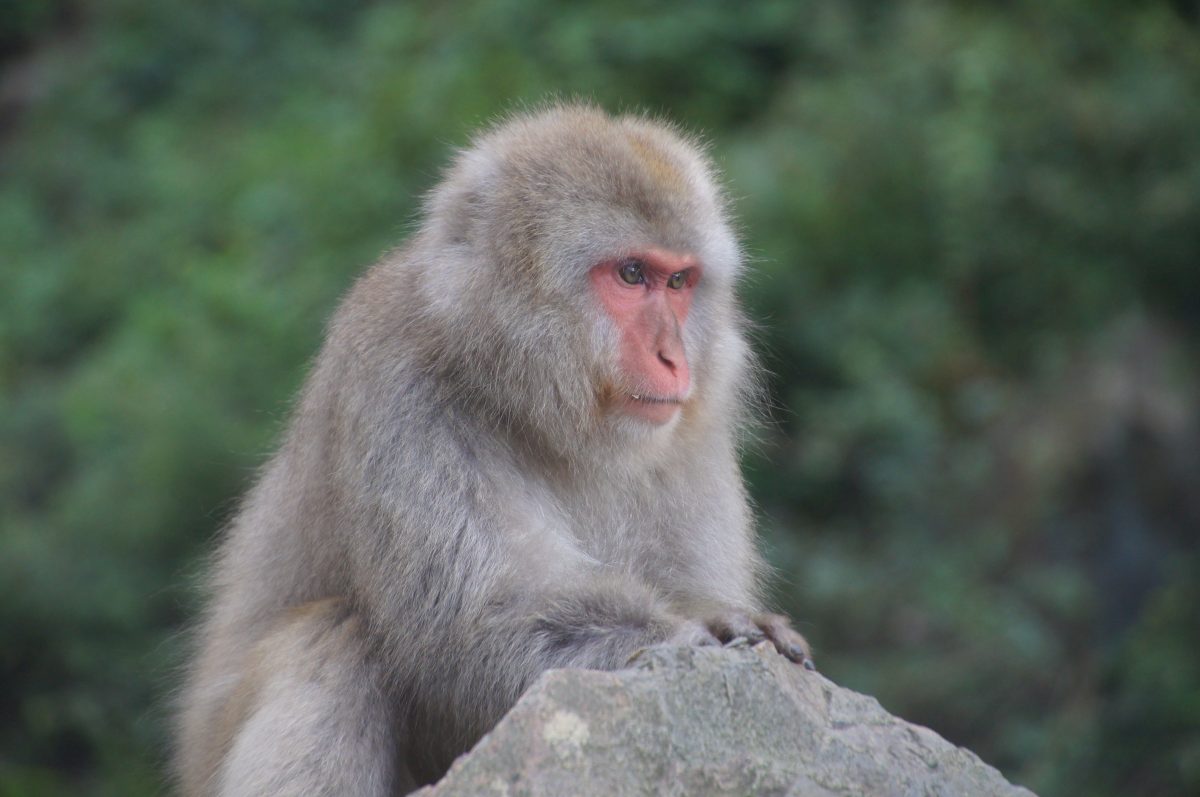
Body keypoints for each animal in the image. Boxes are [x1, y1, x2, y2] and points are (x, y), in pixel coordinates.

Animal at [174, 103, 813, 796]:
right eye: (631, 274)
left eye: (678, 281)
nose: (674, 358)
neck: (537, 408)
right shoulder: (400, 389)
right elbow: (483, 624)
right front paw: (692, 631)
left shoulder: (691, 430)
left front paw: (719, 614)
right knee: (332, 636)